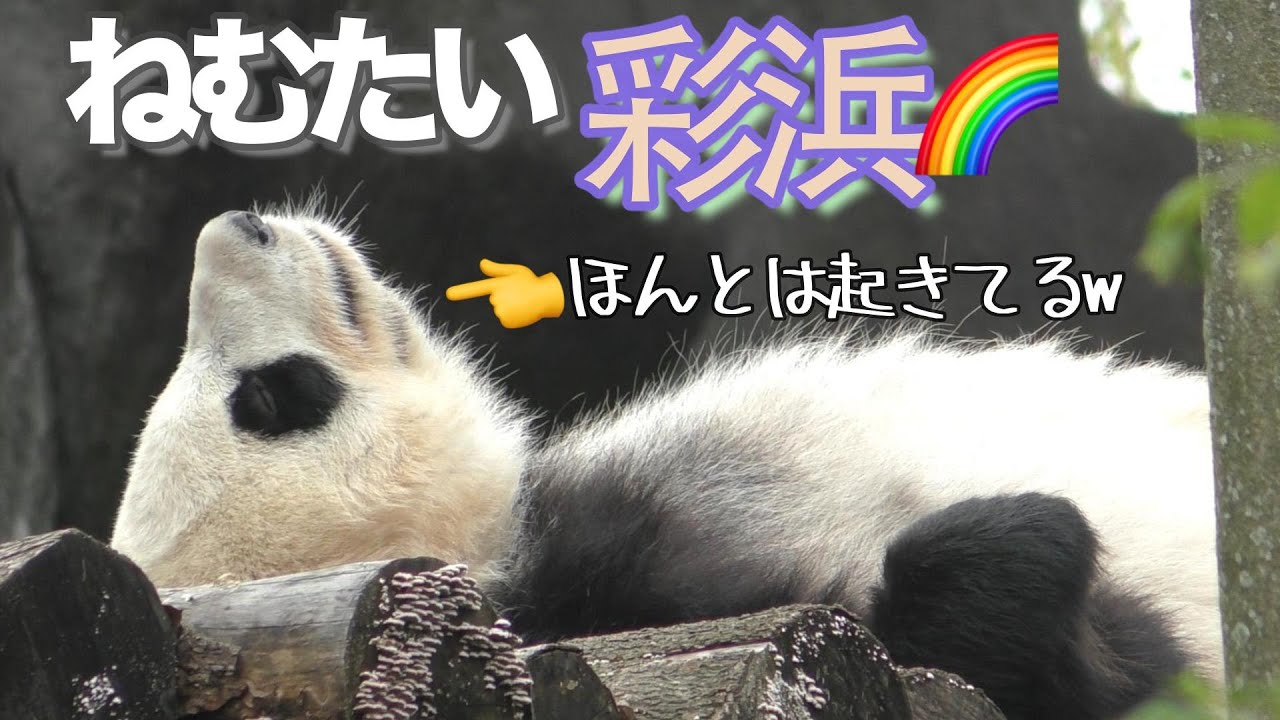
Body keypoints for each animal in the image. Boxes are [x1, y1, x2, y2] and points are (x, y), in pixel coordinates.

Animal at [111, 204, 1223, 720]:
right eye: (273, 401)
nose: (235, 227)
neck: (509, 535)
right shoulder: (641, 587)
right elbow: (1071, 658)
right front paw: (1019, 542)